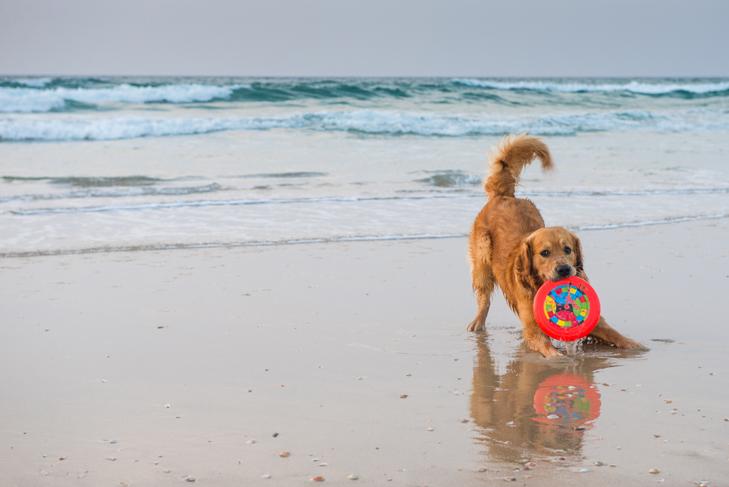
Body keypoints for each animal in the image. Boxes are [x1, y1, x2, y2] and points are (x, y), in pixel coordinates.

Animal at [466, 135, 644, 356]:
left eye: (568, 249)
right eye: (544, 253)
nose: (564, 269)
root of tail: (504, 195)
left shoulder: (596, 321)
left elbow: (615, 334)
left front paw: (636, 346)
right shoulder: (532, 327)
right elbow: (547, 348)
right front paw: (559, 357)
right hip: (482, 259)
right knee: (484, 298)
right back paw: (477, 323)